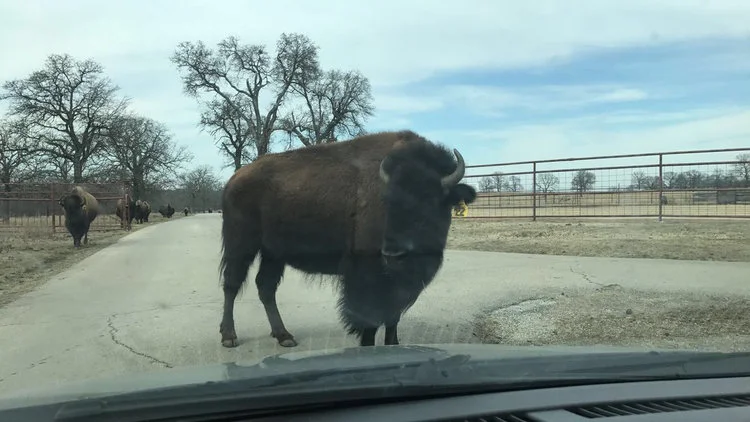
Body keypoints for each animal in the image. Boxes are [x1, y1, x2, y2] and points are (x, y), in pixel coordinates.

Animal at [219, 130, 476, 348]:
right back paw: (229, 337)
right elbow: (370, 318)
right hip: (241, 244)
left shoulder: (396, 284)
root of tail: (235, 178)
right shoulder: (367, 277)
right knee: (232, 284)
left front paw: (393, 344)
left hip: (273, 253)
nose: (393, 255)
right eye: (387, 201)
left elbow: (392, 318)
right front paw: (368, 345)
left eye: (429, 202)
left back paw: (284, 336)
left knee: (265, 287)